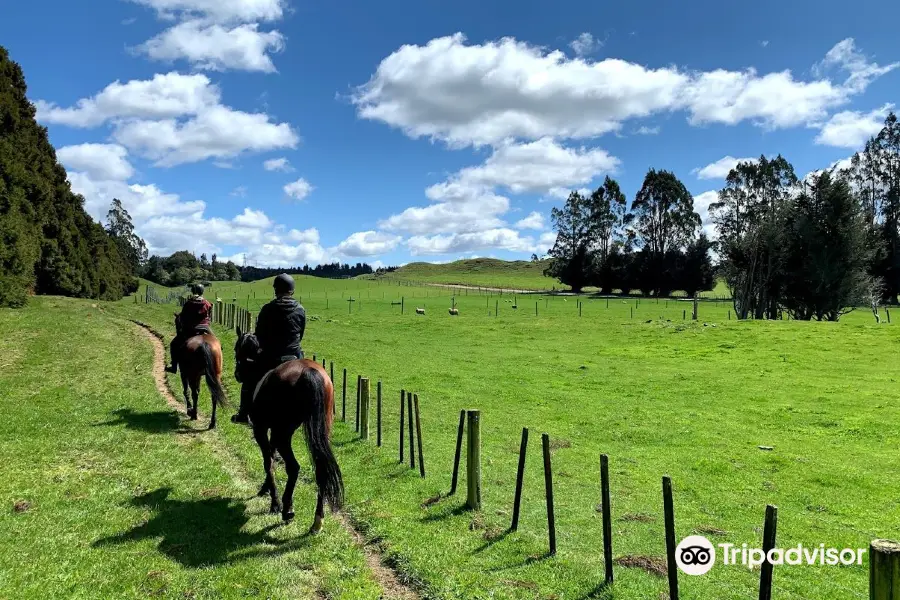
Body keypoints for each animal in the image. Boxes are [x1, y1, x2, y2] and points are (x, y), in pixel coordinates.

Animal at [232, 328, 344, 528]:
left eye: (237, 349)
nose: (238, 374)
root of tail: (308, 372)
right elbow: (271, 456)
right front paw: (266, 488)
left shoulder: (260, 429)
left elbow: (268, 461)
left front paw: (273, 501)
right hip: (319, 431)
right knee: (320, 469)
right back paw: (317, 521)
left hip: (282, 433)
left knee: (293, 467)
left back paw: (286, 508)